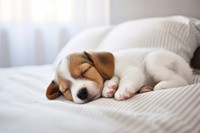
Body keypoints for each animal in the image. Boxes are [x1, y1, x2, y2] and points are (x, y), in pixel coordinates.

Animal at [46, 48, 193, 103]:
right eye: (66, 90)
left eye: (85, 71)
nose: (81, 93)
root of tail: (188, 69)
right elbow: (111, 80)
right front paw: (109, 87)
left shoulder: (131, 70)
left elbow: (125, 80)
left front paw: (122, 91)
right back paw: (145, 88)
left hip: (153, 61)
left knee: (181, 80)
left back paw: (162, 85)